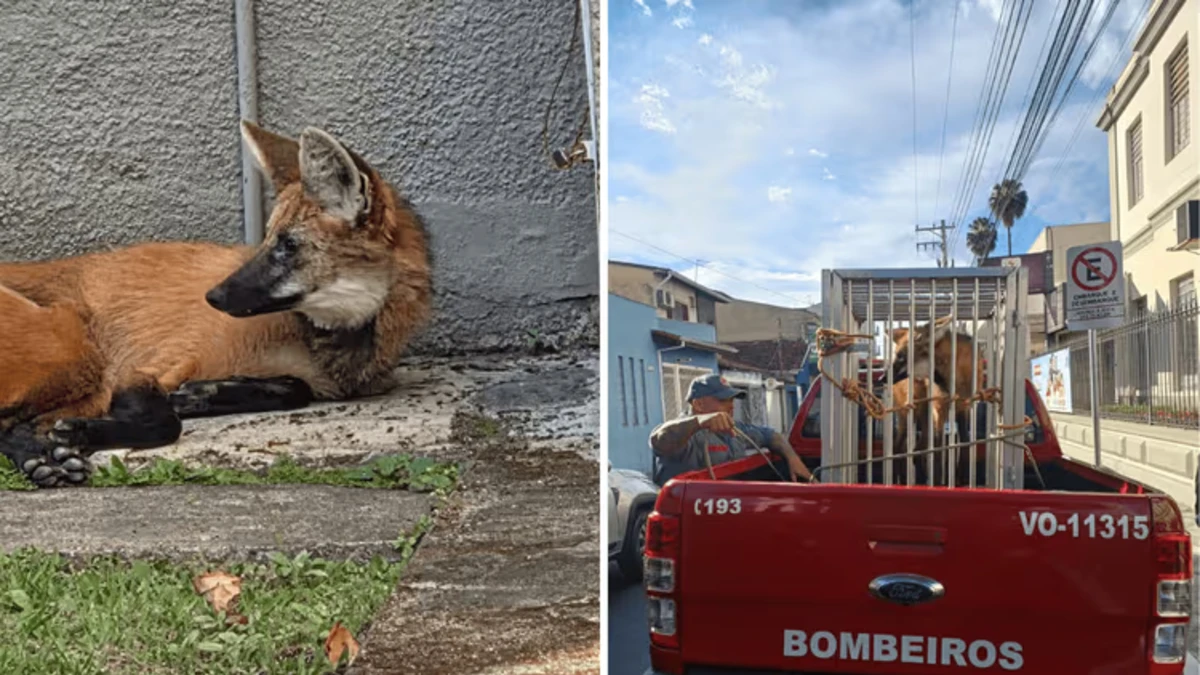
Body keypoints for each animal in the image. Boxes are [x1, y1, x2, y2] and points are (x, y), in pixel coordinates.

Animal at [0, 121, 433, 486]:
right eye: (267, 239)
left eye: (288, 245)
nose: (213, 296)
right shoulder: (140, 371)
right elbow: (167, 424)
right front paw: (86, 431)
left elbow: (295, 387)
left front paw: (202, 395)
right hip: (77, 352)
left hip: (84, 384)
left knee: (15, 425)